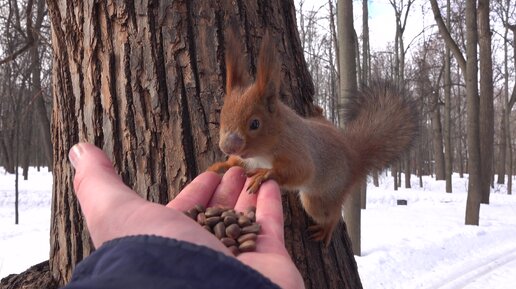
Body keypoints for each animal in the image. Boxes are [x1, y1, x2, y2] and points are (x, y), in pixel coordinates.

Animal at [207, 32, 420, 245]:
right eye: (222, 115)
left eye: (255, 124)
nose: (227, 147)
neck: (264, 150)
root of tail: (353, 155)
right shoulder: (250, 158)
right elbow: (238, 163)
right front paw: (220, 165)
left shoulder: (296, 148)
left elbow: (302, 171)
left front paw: (266, 174)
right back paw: (318, 110)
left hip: (319, 198)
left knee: (332, 214)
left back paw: (325, 230)